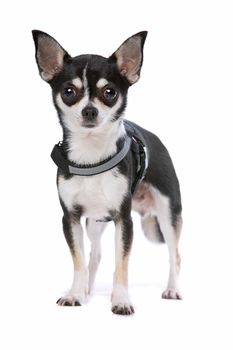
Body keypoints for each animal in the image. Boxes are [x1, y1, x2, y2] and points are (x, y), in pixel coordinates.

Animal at [32, 30, 182, 314]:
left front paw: (121, 300)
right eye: (68, 92)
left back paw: (173, 290)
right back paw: (87, 290)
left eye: (109, 92)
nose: (89, 110)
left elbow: (121, 263)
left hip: (168, 214)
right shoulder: (71, 218)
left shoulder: (124, 221)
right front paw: (75, 294)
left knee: (175, 254)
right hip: (95, 221)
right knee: (95, 255)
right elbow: (79, 261)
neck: (91, 157)